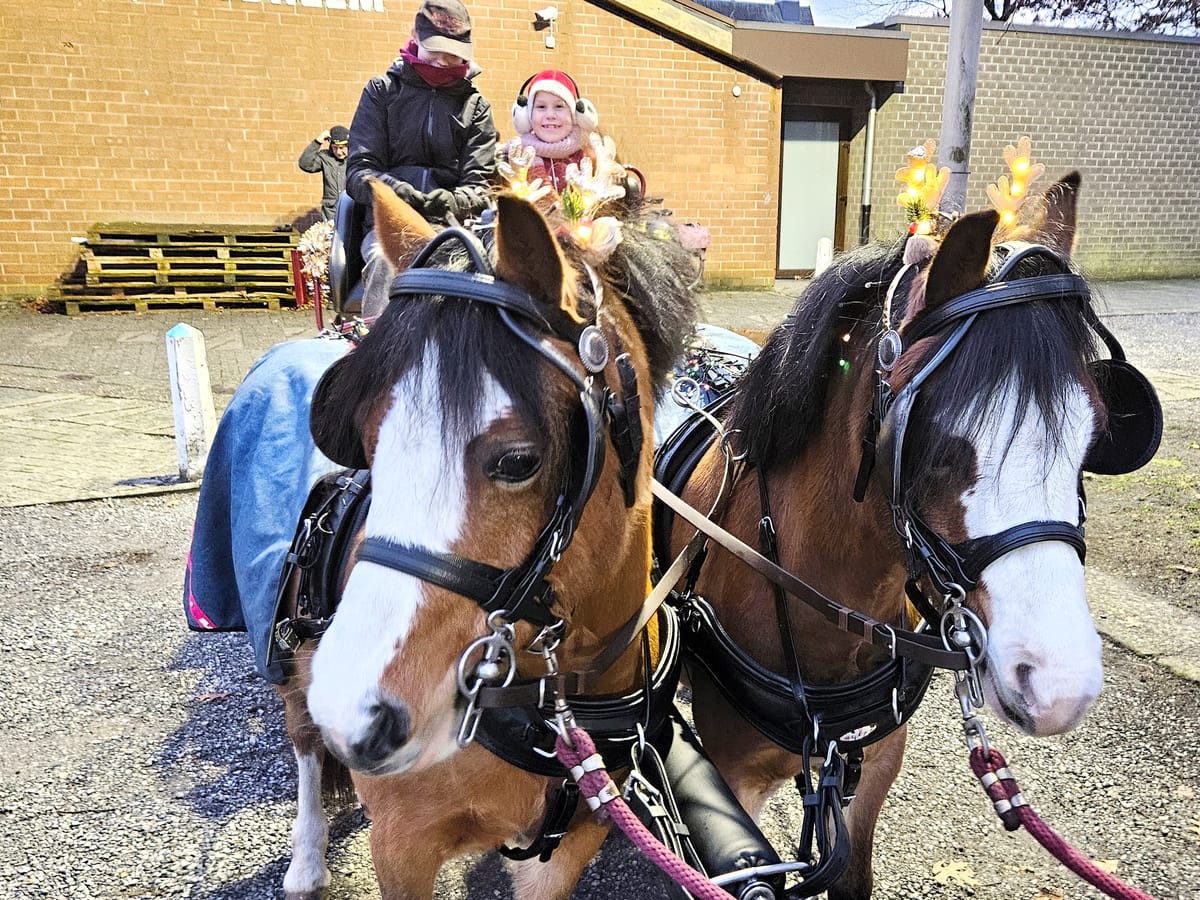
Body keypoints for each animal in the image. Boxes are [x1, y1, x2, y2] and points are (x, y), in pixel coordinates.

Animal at [272, 184, 696, 900]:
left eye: (519, 460)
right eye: (369, 439)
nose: (359, 713)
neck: (551, 704)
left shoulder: (571, 842)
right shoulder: (401, 846)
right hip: (298, 654)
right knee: (303, 737)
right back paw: (306, 857)